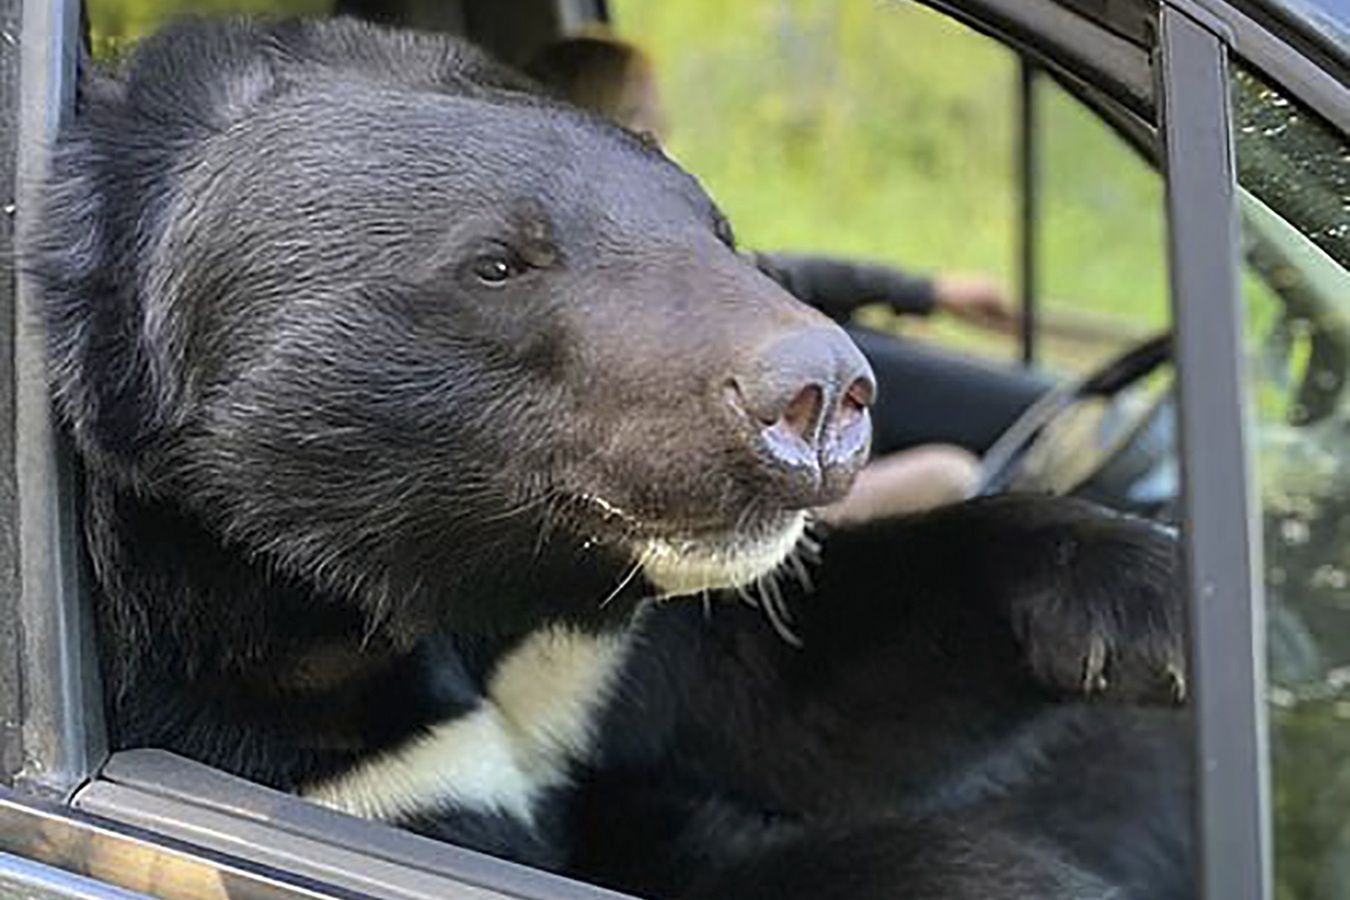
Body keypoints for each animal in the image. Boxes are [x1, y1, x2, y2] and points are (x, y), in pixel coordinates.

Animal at [26, 15, 1193, 900]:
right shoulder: (306, 758)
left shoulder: (604, 657)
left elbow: (802, 693)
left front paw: (1155, 599)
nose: (823, 395)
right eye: (500, 262)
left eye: (719, 230)